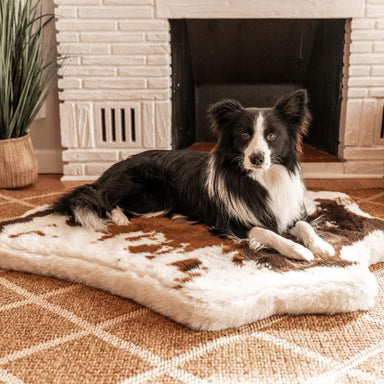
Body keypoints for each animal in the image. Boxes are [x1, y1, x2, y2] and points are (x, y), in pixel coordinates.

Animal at [52, 89, 334, 260]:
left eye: (272, 135)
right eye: (244, 134)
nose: (256, 158)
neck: (261, 179)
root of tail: (112, 170)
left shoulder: (289, 211)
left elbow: (305, 225)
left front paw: (322, 245)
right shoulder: (230, 223)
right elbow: (267, 232)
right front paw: (298, 250)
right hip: (152, 197)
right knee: (105, 200)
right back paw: (120, 218)